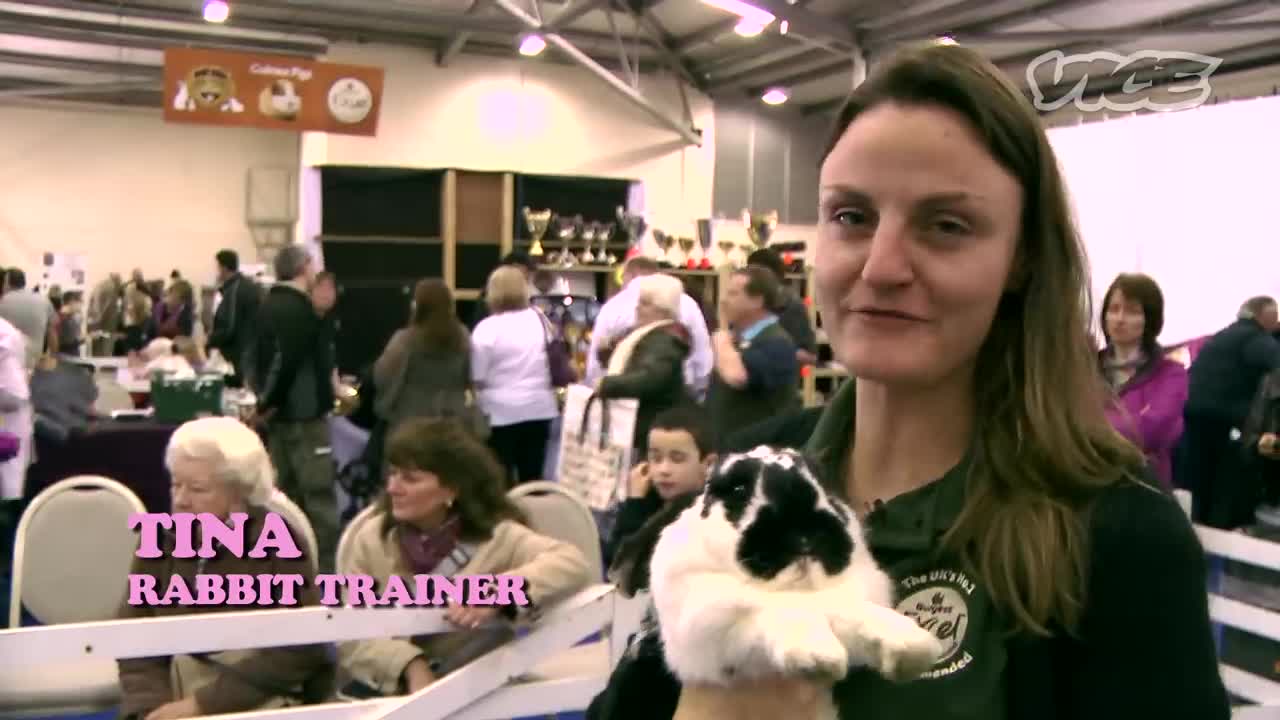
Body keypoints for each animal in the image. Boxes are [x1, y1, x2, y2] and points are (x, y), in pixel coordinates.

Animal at [646, 445, 944, 703]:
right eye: (739, 488)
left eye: (823, 485)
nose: (804, 532)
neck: (799, 587)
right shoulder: (713, 625)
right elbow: (783, 611)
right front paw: (818, 659)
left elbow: (859, 616)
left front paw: (913, 650)